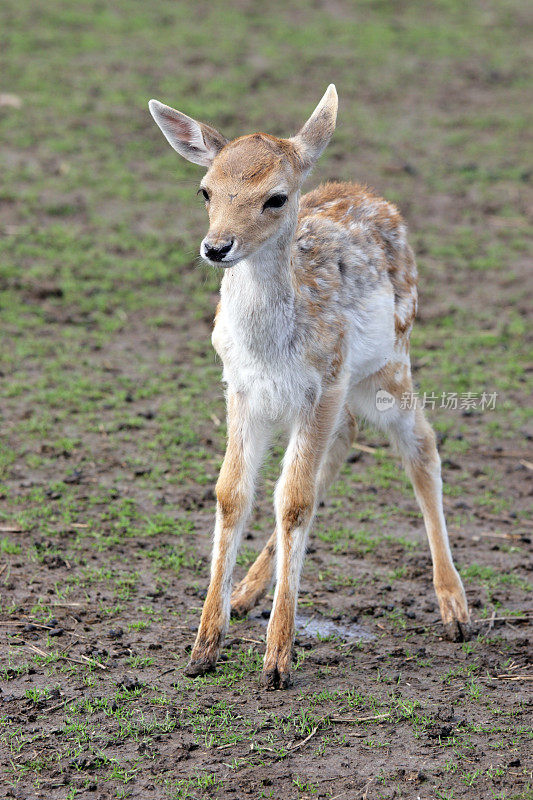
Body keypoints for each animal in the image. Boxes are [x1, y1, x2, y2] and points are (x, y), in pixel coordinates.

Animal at [148, 86, 468, 688]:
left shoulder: (323, 383)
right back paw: (246, 593)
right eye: (205, 190)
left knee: (421, 445)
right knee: (340, 447)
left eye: (275, 197)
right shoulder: (241, 389)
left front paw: (277, 660)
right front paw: (203, 647)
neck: (271, 350)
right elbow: (233, 492)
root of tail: (370, 195)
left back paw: (455, 609)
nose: (216, 247)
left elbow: (293, 498)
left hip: (389, 363)